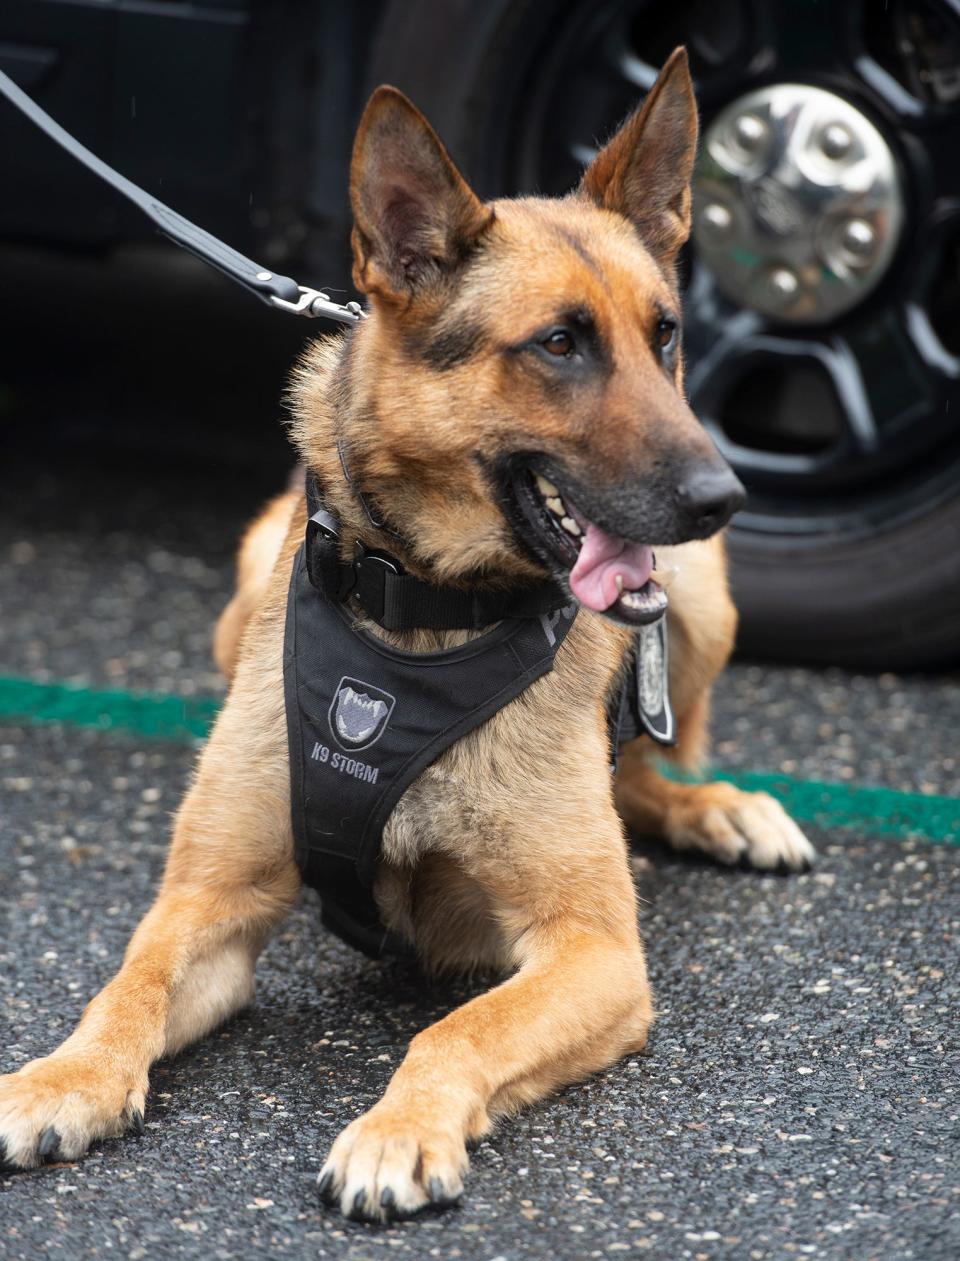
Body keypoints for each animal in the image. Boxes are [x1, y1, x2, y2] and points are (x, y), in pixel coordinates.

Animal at [0, 49, 812, 1220]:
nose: (726, 497)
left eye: (664, 334)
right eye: (559, 344)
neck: (420, 616)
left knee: (649, 765)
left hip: (701, 597)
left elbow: (453, 1028)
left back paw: (721, 807)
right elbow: (127, 983)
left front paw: (398, 1130)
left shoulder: (594, 950)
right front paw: (64, 1075)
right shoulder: (207, 900)